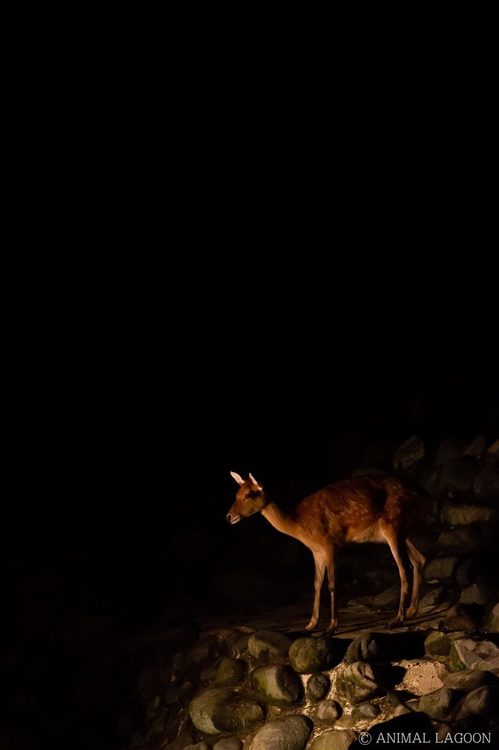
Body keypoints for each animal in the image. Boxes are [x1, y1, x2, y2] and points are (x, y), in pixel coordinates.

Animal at [229, 472, 428, 632]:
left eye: (248, 495)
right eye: (236, 494)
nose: (228, 516)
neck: (300, 525)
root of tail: (421, 494)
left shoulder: (330, 543)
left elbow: (332, 583)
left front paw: (332, 626)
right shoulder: (316, 551)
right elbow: (317, 584)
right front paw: (310, 625)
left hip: (392, 524)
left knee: (403, 569)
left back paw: (397, 619)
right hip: (402, 532)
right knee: (419, 559)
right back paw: (411, 610)